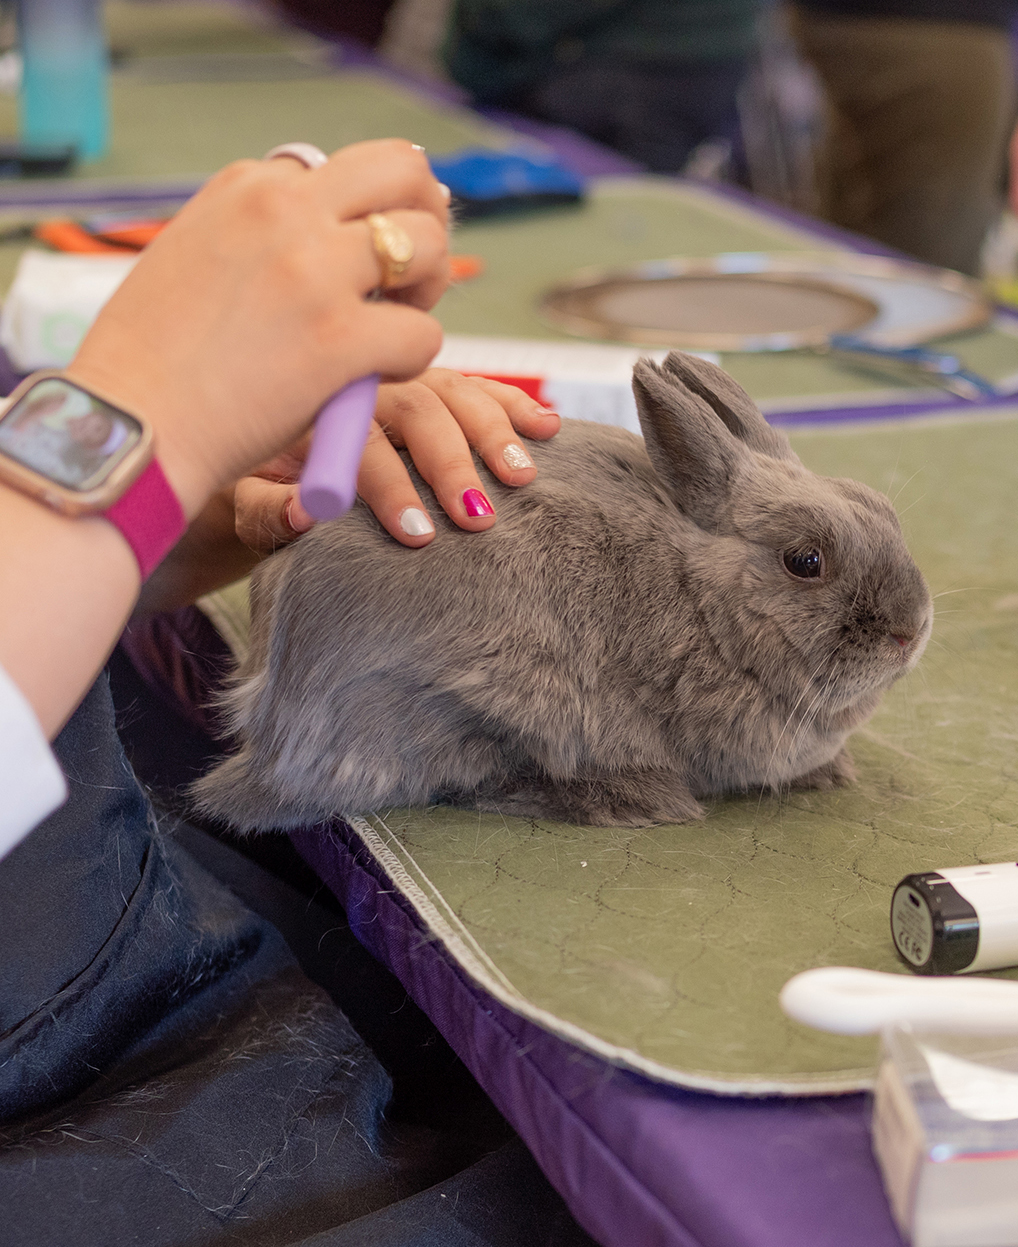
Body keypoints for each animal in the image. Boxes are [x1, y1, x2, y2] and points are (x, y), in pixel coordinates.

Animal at [193, 351, 933, 831]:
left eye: (879, 509)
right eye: (805, 560)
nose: (911, 629)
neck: (702, 599)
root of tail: (271, 714)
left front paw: (832, 771)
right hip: (495, 698)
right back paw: (635, 800)